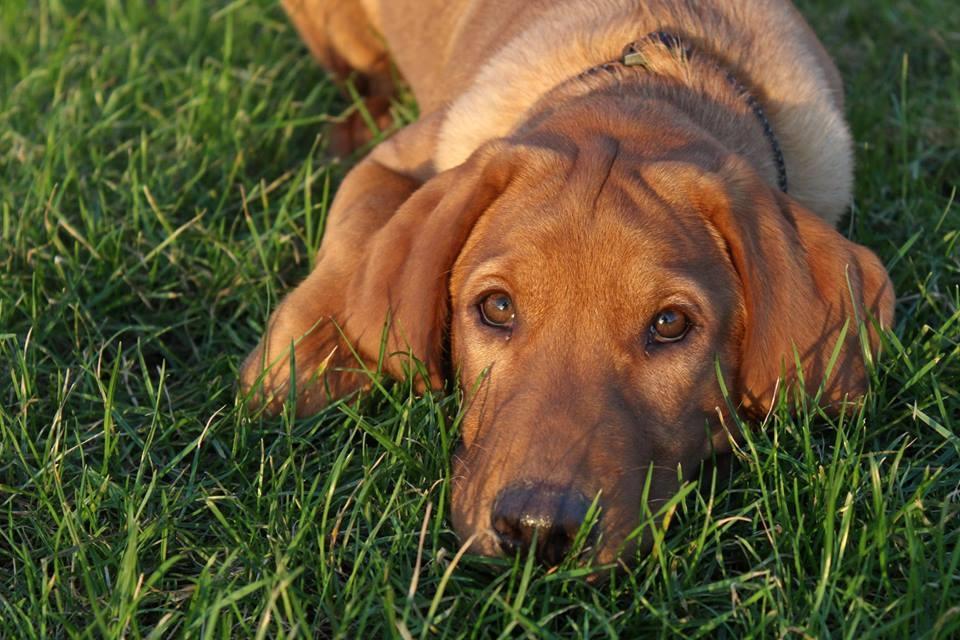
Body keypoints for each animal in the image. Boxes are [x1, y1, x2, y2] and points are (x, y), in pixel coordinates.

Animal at [244, 0, 896, 564]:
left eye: (670, 324)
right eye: (497, 308)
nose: (537, 530)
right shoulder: (401, 158)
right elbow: (353, 234)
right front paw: (293, 370)